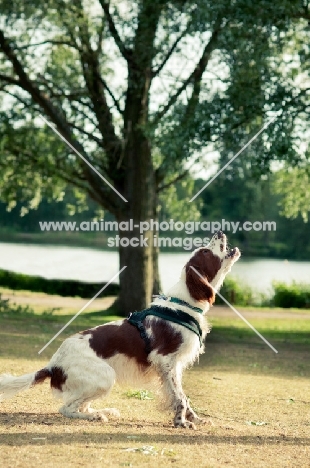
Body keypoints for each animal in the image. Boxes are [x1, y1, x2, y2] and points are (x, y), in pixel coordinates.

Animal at [0, 230, 240, 428]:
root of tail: (53, 365)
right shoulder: (166, 361)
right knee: (66, 408)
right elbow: (179, 397)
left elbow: (181, 396)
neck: (184, 304)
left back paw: (104, 411)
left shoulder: (174, 366)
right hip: (106, 376)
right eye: (206, 251)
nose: (219, 231)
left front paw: (194, 418)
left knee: (80, 404)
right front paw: (182, 422)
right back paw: (95, 416)